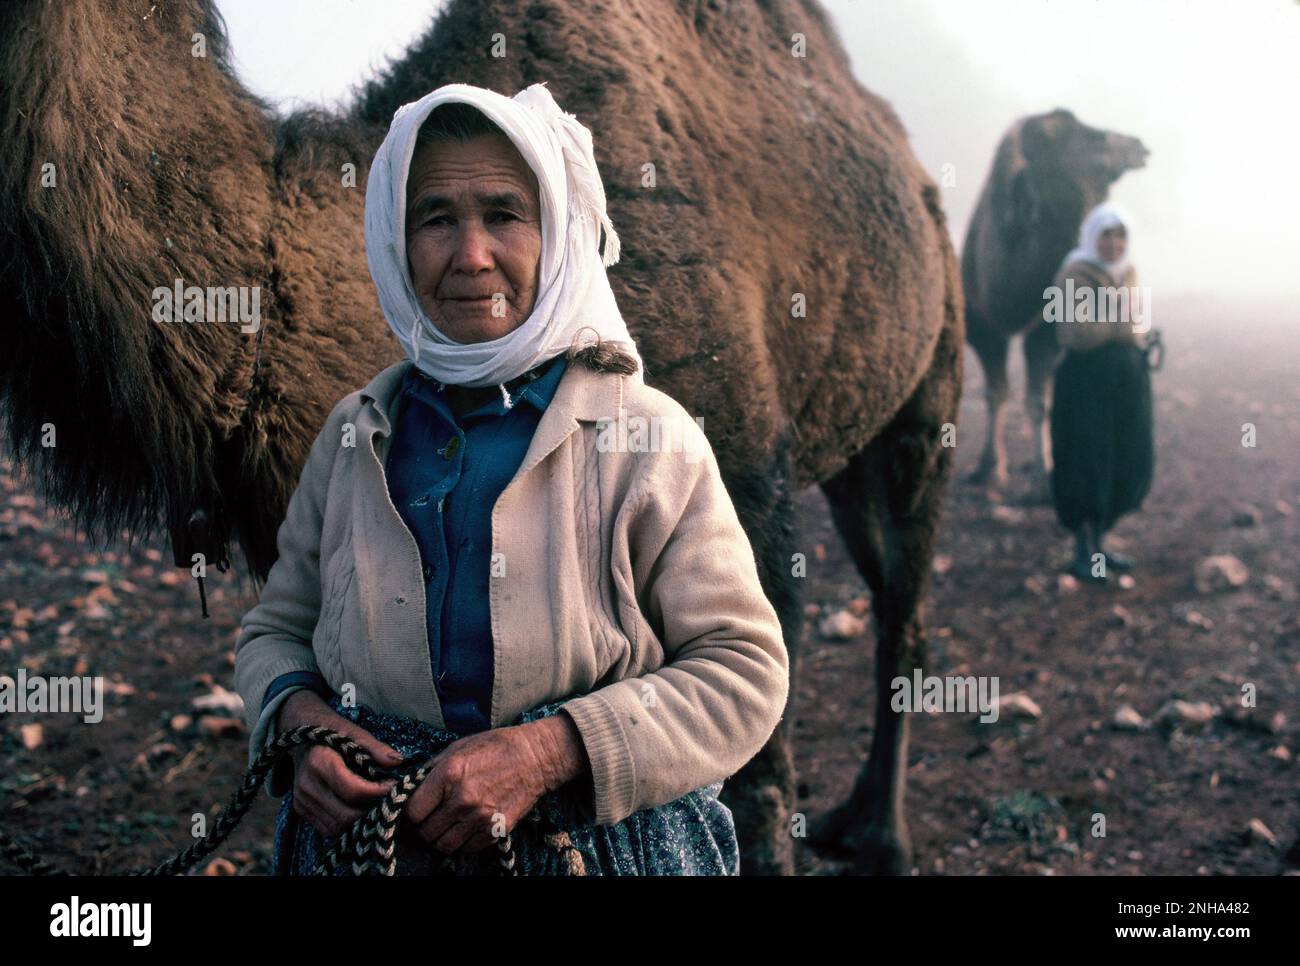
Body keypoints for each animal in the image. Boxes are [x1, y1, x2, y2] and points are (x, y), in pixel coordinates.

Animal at [956, 109, 1149, 494]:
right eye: (1095, 136)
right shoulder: (983, 329)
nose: (1139, 145)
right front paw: (989, 469)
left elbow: (1037, 401)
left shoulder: (1046, 330)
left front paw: (1043, 479)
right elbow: (995, 393)